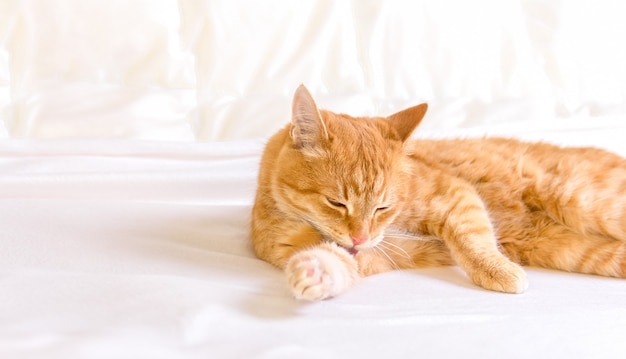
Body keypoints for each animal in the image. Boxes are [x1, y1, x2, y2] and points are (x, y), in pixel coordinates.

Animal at [251, 85, 624, 300]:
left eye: (383, 208)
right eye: (337, 202)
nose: (360, 237)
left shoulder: (453, 193)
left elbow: (473, 241)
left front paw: (499, 270)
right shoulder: (364, 257)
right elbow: (335, 261)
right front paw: (313, 272)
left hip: (585, 200)